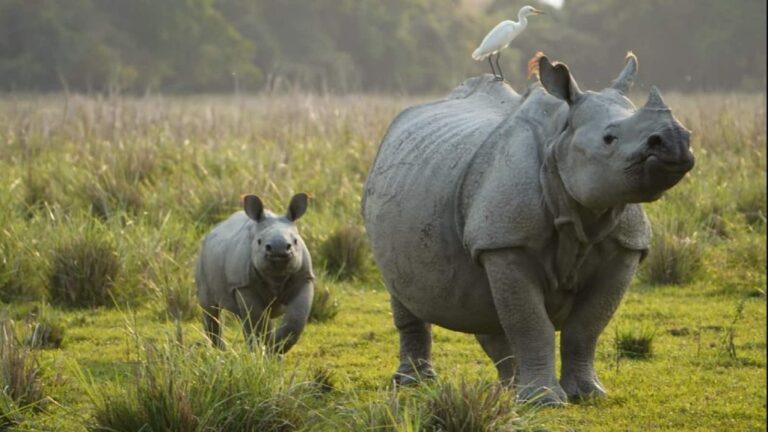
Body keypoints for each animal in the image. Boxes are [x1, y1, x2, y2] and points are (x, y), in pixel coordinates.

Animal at [196, 193, 314, 354]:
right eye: (259, 241)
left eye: (295, 241)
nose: (278, 250)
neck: (276, 277)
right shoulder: (243, 285)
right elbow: (258, 322)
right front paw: (265, 351)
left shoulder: (304, 279)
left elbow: (295, 320)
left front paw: (276, 350)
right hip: (202, 258)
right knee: (211, 308)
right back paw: (223, 351)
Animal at [362, 53, 693, 405]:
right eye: (608, 138)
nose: (675, 140)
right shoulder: (507, 243)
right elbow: (531, 324)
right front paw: (544, 401)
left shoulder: (626, 245)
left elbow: (585, 327)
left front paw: (588, 395)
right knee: (403, 290)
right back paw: (415, 383)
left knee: (486, 305)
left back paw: (510, 390)